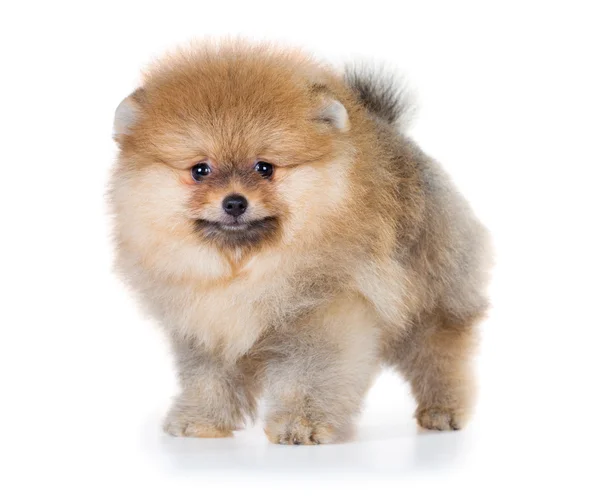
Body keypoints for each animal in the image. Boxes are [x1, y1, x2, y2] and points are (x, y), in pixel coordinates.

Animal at [109, 41, 492, 444]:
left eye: (265, 168)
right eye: (200, 170)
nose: (234, 202)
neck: (244, 268)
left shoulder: (322, 314)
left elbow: (308, 377)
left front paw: (301, 424)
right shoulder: (205, 325)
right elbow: (207, 378)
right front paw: (201, 420)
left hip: (432, 293)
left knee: (440, 352)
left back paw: (443, 410)